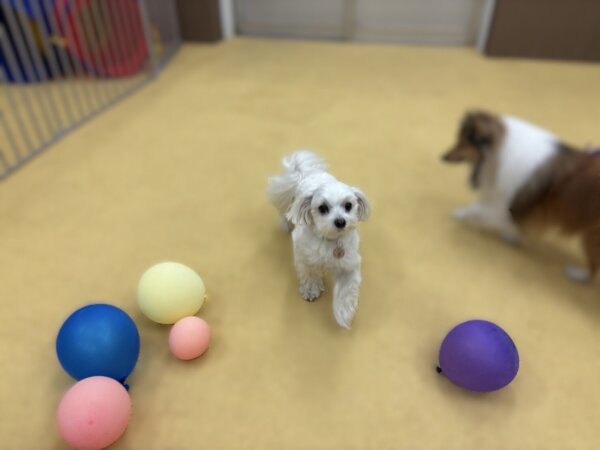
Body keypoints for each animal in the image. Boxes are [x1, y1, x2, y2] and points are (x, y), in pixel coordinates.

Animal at [267, 151, 371, 328]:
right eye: (323, 208)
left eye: (348, 205)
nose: (340, 222)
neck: (330, 239)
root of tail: (309, 173)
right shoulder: (304, 257)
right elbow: (310, 274)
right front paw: (310, 290)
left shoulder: (349, 264)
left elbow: (346, 290)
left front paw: (343, 313)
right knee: (287, 212)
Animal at [442, 110, 600, 283]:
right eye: (458, 139)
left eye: (463, 142)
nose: (442, 156)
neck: (499, 152)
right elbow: (518, 223)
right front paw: (513, 237)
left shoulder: (505, 202)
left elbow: (477, 208)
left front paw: (461, 214)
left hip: (591, 237)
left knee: (593, 267)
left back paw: (577, 274)